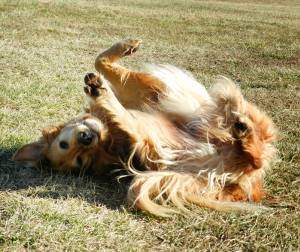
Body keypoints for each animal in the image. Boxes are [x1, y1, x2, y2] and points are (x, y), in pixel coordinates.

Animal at [12, 39, 278, 217]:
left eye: (64, 143)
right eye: (79, 160)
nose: (87, 138)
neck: (108, 137)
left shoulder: (145, 93)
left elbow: (101, 62)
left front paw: (126, 46)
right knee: (255, 151)